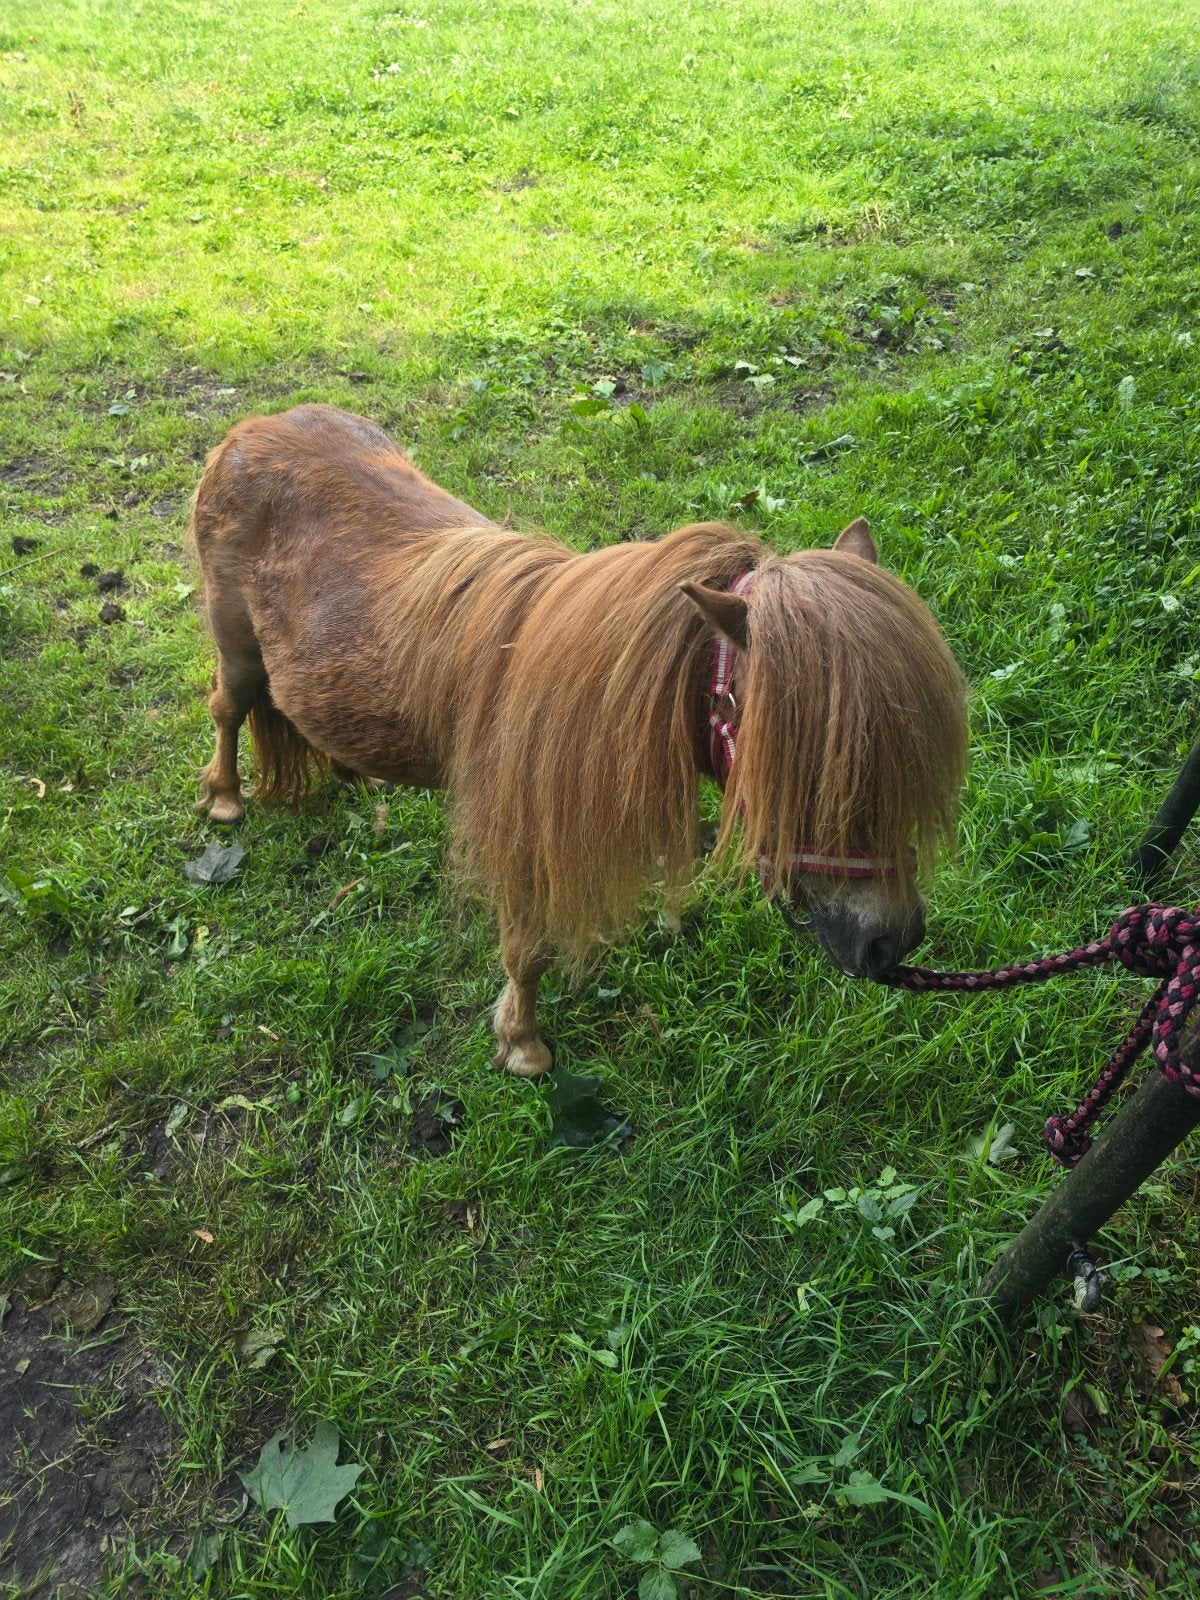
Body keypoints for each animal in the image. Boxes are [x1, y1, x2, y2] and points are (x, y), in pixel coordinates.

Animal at [191, 403, 968, 1076]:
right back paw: (225, 800)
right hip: (236, 645)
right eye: (803, 771)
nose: (892, 941)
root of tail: (252, 430)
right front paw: (524, 1047)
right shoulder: (525, 836)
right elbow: (527, 951)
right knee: (227, 708)